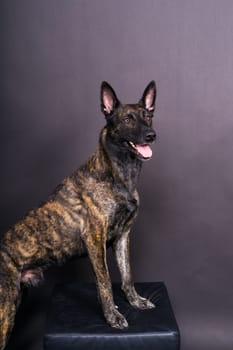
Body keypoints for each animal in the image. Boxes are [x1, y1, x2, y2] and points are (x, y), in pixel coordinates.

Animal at [0, 80, 157, 350]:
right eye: (127, 119)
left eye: (148, 116)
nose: (151, 135)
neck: (117, 174)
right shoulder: (95, 239)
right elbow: (105, 282)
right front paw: (113, 316)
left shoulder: (123, 237)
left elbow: (127, 275)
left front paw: (135, 301)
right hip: (5, 307)